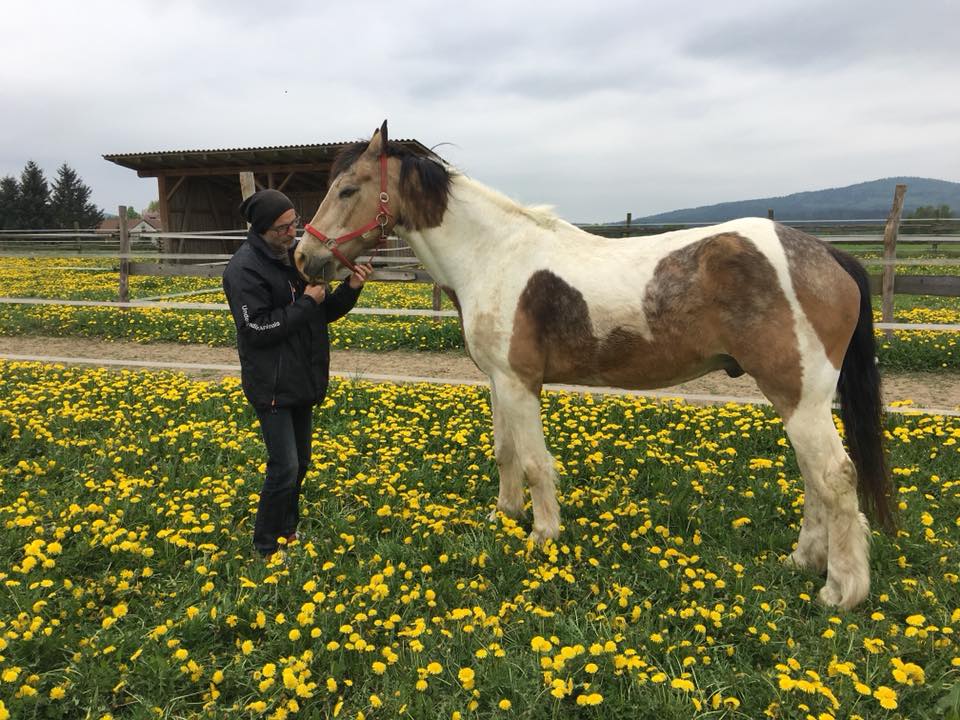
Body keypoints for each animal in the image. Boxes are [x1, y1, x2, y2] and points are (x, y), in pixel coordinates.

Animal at [294, 121, 892, 604]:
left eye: (347, 189)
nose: (304, 256)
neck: (494, 255)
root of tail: (827, 255)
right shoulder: (497, 382)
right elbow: (506, 452)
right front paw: (505, 515)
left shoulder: (520, 383)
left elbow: (536, 462)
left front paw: (543, 535)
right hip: (795, 401)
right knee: (813, 479)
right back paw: (803, 561)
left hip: (801, 397)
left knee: (834, 478)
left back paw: (841, 590)